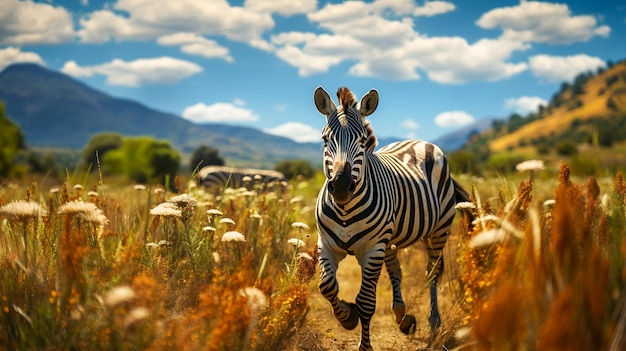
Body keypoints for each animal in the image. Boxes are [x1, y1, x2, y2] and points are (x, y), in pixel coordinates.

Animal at [312, 86, 468, 350]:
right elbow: (327, 287)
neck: (345, 210)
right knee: (396, 269)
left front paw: (364, 345)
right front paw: (347, 317)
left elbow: (366, 302)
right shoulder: (326, 245)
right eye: (325, 139)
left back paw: (434, 323)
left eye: (362, 140)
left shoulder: (373, 249)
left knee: (432, 272)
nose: (342, 187)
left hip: (438, 230)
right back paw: (403, 317)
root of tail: (419, 142)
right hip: (391, 239)